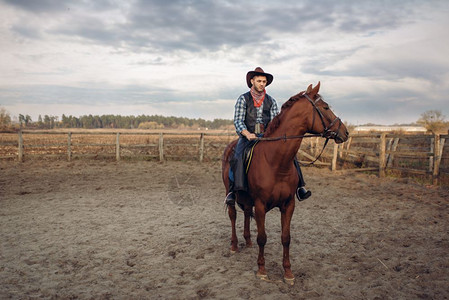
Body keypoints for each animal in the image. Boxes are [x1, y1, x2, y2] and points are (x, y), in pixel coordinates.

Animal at [221, 81, 350, 284]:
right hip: (231, 194)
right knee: (233, 216)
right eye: (325, 107)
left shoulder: (288, 204)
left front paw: (288, 273)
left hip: (248, 199)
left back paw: (247, 241)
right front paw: (262, 270)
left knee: (246, 213)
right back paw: (234, 245)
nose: (345, 132)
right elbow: (263, 238)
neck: (276, 161)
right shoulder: (261, 205)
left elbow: (286, 238)